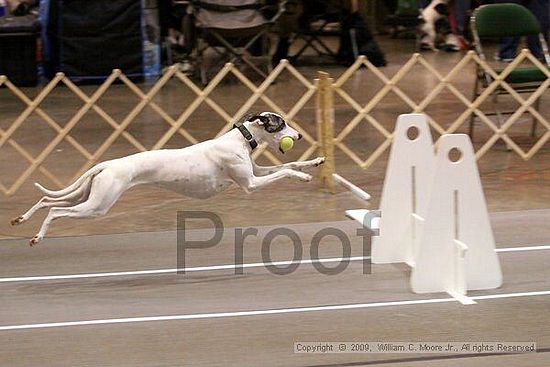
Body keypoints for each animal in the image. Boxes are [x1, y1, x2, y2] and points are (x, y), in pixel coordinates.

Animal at [10, 111, 326, 244]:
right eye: (280, 123)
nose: (299, 136)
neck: (240, 139)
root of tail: (106, 164)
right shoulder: (251, 184)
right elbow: (285, 170)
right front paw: (303, 178)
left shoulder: (256, 173)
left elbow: (292, 163)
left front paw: (317, 161)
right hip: (96, 206)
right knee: (55, 211)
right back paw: (38, 236)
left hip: (87, 195)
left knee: (45, 200)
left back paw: (21, 220)